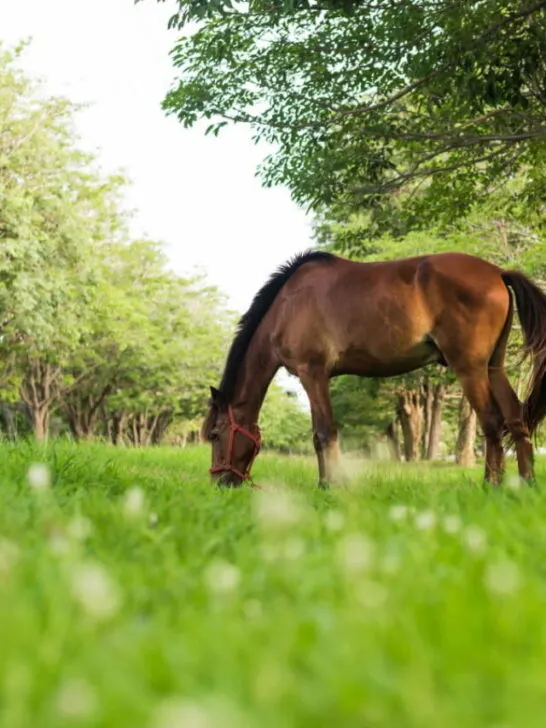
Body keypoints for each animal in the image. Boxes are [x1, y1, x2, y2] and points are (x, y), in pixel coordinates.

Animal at [203, 250, 546, 488]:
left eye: (216, 434)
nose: (221, 483)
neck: (287, 306)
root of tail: (498, 272)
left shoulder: (313, 374)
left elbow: (324, 432)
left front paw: (331, 486)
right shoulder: (314, 378)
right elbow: (318, 435)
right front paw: (324, 483)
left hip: (469, 368)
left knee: (492, 421)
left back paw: (491, 485)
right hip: (493, 367)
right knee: (516, 419)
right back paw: (525, 483)